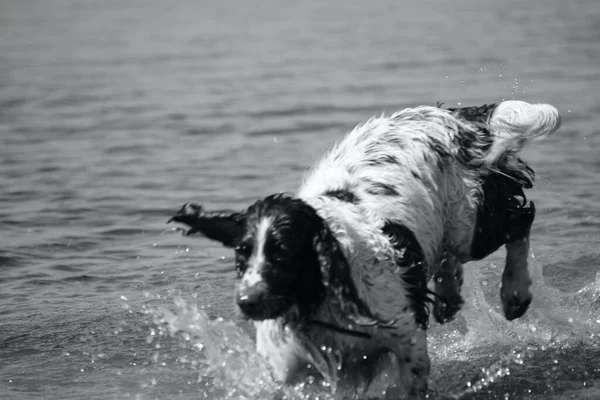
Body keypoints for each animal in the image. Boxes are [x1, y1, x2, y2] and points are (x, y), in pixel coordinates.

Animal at [170, 100, 564, 396]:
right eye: (242, 252)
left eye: (283, 251)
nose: (247, 302)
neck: (317, 298)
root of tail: (455, 117)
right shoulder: (292, 367)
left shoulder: (405, 338)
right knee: (451, 258)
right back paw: (449, 298)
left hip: (470, 222)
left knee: (519, 222)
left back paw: (514, 293)